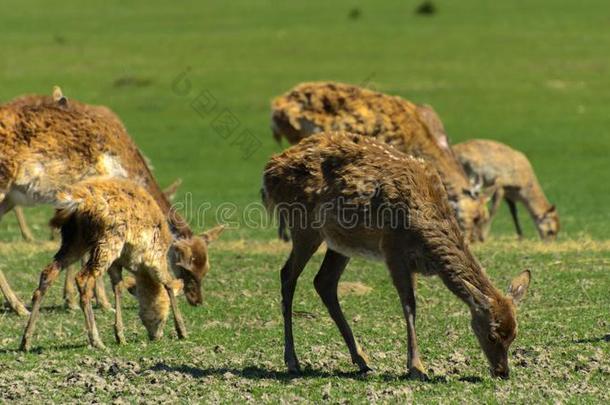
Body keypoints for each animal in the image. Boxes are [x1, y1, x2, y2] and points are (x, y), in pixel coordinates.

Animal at [0, 89, 223, 316]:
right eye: (185, 267)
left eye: (206, 267)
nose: (197, 300)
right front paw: (101, 302)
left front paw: (78, 299)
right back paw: (19, 306)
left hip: (9, 197)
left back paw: (17, 304)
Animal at [19, 178, 188, 350]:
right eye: (163, 317)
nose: (156, 337)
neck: (140, 271)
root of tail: (76, 203)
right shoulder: (155, 258)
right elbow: (168, 284)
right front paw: (182, 331)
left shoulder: (116, 263)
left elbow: (118, 287)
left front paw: (120, 336)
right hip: (107, 241)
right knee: (83, 278)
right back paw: (96, 340)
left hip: (74, 239)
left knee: (48, 272)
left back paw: (26, 340)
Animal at [262, 133, 528, 378]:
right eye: (492, 335)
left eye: (514, 334)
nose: (503, 371)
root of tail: (269, 171)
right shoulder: (394, 249)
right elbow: (409, 304)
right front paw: (417, 367)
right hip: (303, 224)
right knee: (287, 275)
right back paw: (293, 361)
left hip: (341, 242)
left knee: (324, 281)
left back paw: (362, 360)